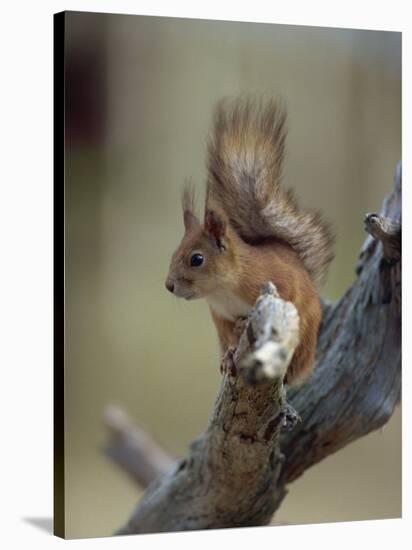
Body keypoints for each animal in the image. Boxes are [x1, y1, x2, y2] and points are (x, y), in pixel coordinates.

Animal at [165, 98, 334, 384]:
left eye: (196, 259)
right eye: (173, 254)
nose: (169, 286)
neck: (223, 289)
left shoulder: (276, 280)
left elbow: (287, 292)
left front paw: (246, 322)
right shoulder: (220, 318)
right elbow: (231, 338)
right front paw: (228, 356)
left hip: (304, 332)